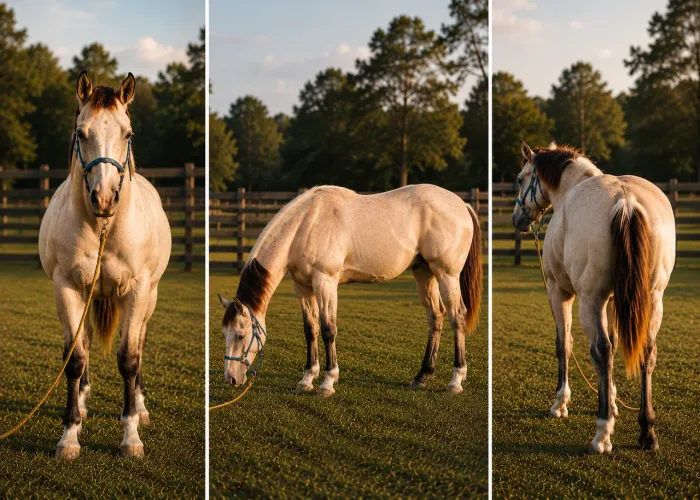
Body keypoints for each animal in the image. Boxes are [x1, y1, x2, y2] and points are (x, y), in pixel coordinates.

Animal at [38, 71, 171, 460]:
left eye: (128, 133)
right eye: (81, 133)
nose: (104, 197)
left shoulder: (138, 290)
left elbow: (129, 358)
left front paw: (131, 437)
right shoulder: (66, 287)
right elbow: (75, 357)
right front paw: (69, 436)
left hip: (149, 298)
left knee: (139, 343)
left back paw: (140, 407)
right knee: (82, 342)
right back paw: (82, 403)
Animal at [218, 184, 482, 396]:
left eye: (240, 335)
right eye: (224, 334)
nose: (231, 379)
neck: (306, 224)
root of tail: (461, 204)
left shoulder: (325, 282)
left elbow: (328, 330)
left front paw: (327, 383)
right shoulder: (303, 287)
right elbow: (310, 330)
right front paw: (306, 379)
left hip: (446, 274)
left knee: (457, 317)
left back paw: (456, 381)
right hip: (424, 273)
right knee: (435, 317)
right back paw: (422, 376)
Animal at [512, 140, 675, 454]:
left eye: (520, 179)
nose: (517, 219)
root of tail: (626, 200)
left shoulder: (559, 291)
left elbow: (564, 344)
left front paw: (561, 404)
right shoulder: (613, 300)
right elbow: (614, 343)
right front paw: (611, 401)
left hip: (589, 300)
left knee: (601, 350)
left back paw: (602, 434)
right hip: (653, 299)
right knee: (646, 352)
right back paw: (647, 431)